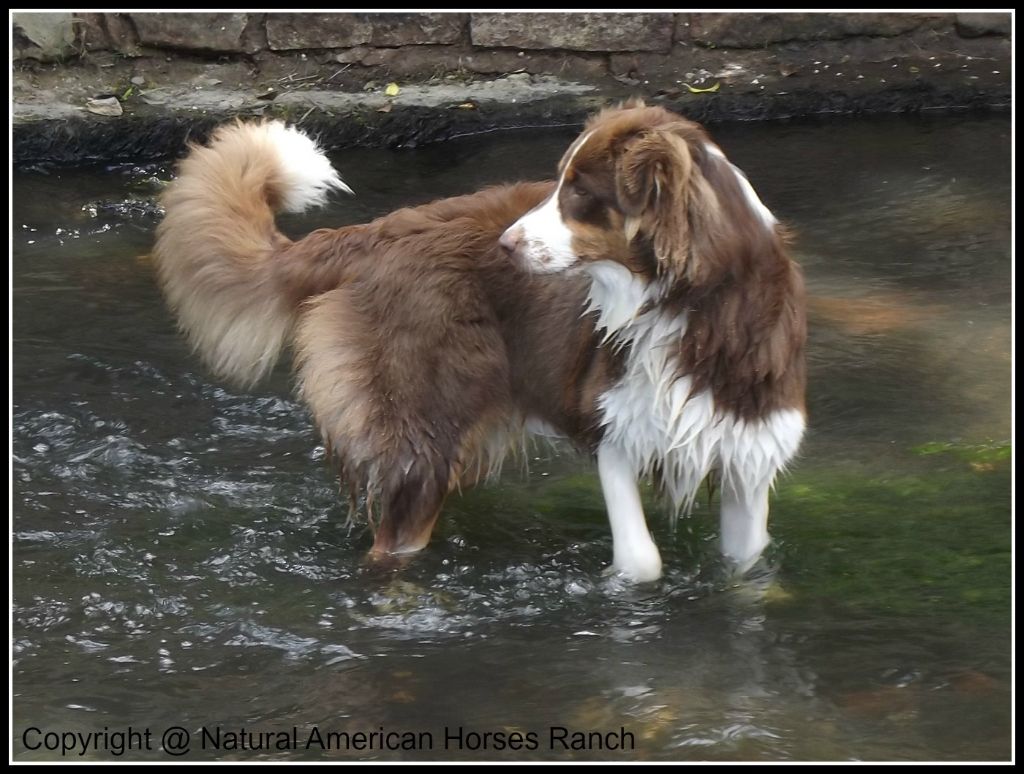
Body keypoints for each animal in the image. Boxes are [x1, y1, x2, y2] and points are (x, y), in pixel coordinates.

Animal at [153, 104, 806, 585]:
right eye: (559, 182)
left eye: (579, 194)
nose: (506, 245)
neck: (691, 307)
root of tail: (373, 233)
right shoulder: (611, 429)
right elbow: (642, 561)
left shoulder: (750, 453)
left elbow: (749, 562)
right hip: (419, 436)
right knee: (389, 547)